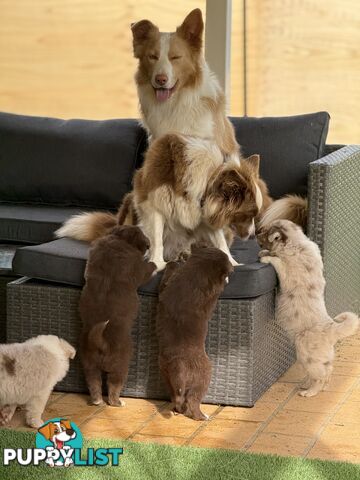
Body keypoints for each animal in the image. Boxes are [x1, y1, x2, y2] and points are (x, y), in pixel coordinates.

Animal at [56, 7, 302, 268]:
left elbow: (218, 238)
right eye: (152, 57)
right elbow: (157, 233)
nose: (160, 79)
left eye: (176, 57)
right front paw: (157, 261)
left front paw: (230, 261)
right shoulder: (150, 190)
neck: (175, 107)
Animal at [79, 225, 155, 404]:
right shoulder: (140, 269)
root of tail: (102, 343)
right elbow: (150, 267)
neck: (119, 240)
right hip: (120, 366)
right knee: (114, 386)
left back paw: (97, 401)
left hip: (89, 364)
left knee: (94, 384)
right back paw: (118, 402)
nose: (149, 246)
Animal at [156, 244, 232, 420]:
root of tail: (179, 365)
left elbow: (166, 278)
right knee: (193, 400)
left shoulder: (166, 287)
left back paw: (177, 410)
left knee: (177, 398)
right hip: (204, 376)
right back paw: (202, 416)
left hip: (166, 375)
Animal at [258, 218, 358, 398]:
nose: (256, 232)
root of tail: (331, 328)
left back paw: (310, 392)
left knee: (320, 376)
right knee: (328, 371)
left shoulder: (287, 275)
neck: (296, 244)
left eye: (265, 232)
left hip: (306, 353)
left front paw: (266, 257)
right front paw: (264, 253)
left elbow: (278, 262)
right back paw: (313, 386)